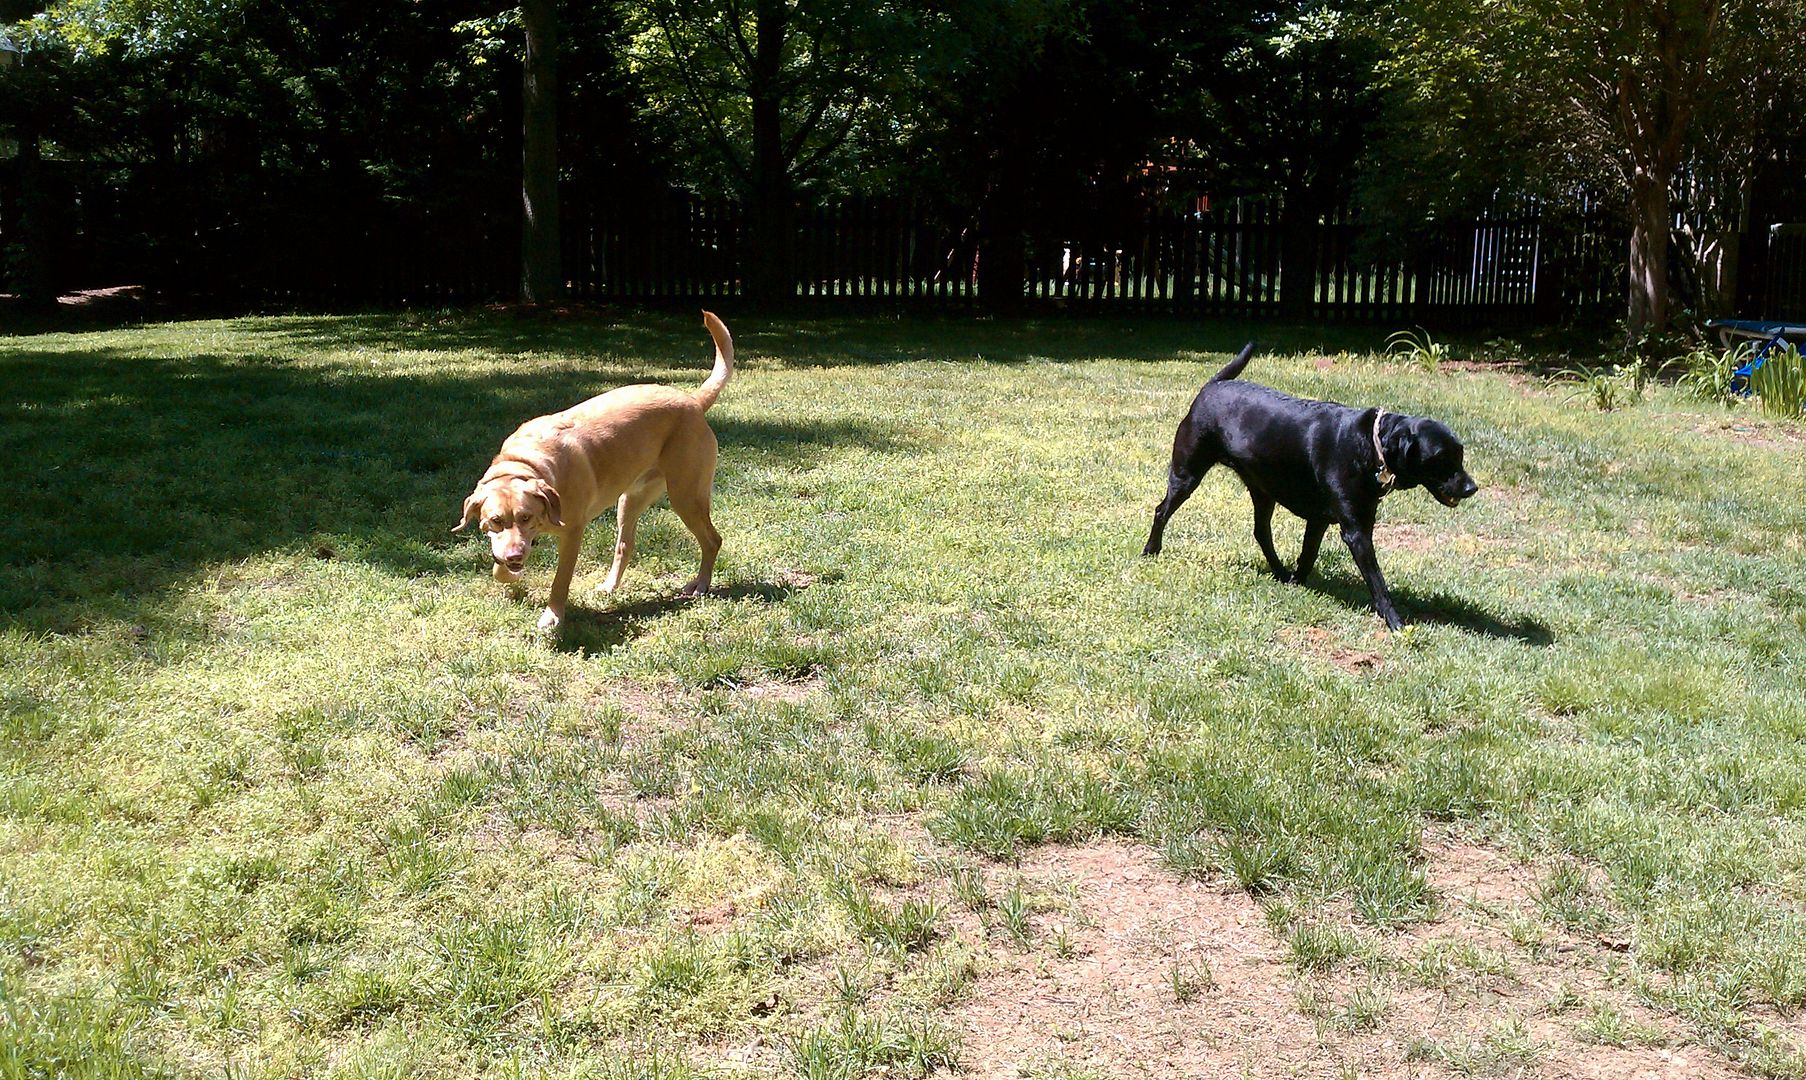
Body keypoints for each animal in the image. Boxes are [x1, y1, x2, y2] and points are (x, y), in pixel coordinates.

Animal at [1141, 343, 1480, 632]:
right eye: (1441, 458)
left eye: (1460, 454)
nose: (1471, 487)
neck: (1372, 446)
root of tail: (1212, 385)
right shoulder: (1356, 531)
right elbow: (1377, 581)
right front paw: (1395, 621)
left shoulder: (1322, 520)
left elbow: (1308, 555)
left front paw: (1296, 582)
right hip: (1187, 474)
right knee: (1161, 510)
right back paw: (1151, 550)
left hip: (1263, 490)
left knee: (1261, 532)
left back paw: (1279, 571)